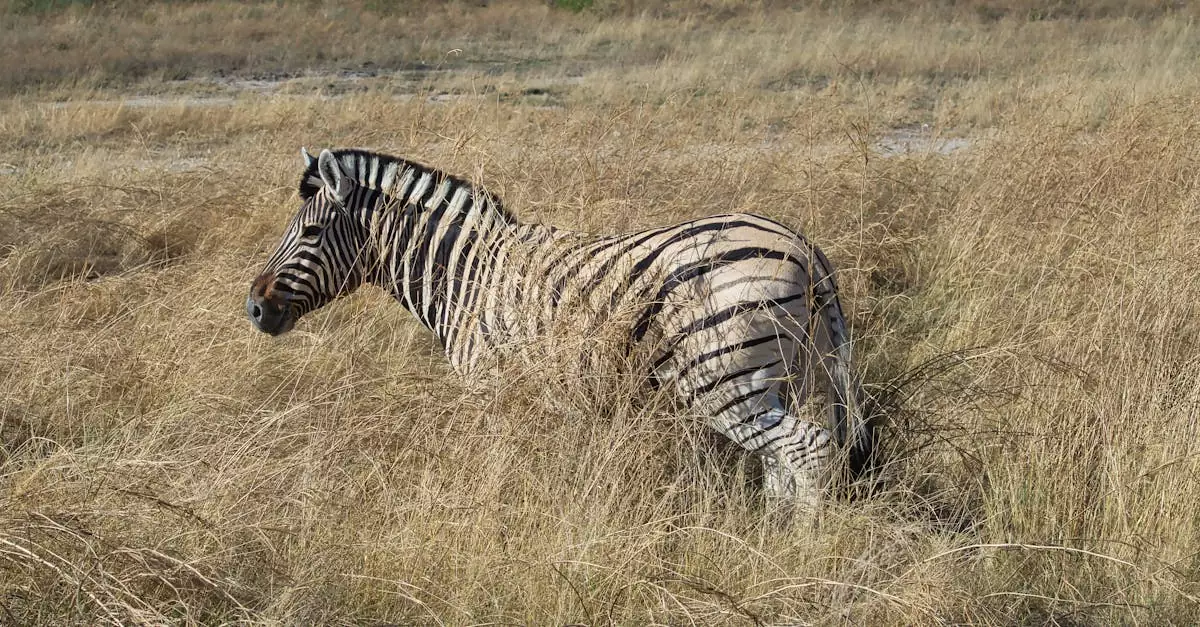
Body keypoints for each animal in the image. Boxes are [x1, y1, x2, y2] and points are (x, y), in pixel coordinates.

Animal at [247, 147, 871, 508]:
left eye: (309, 234)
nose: (254, 308)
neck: (468, 275)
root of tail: (803, 246)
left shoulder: (491, 386)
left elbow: (499, 467)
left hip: (726, 382)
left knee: (810, 452)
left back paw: (800, 558)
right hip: (791, 376)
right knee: (786, 463)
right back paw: (769, 543)